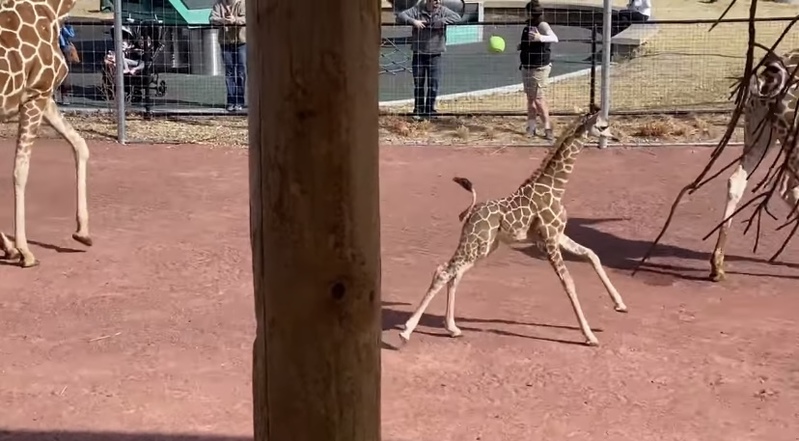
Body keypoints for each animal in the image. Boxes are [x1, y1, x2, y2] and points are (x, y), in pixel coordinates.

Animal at [0, 0, 92, 266]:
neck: (53, 9)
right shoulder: (36, 94)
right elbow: (20, 172)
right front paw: (25, 251)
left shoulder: (45, 96)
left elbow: (80, 145)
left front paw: (83, 232)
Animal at [400, 108, 632, 346]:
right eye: (603, 126)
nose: (614, 138)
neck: (556, 188)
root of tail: (471, 212)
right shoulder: (549, 240)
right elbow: (568, 281)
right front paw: (589, 335)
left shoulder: (557, 235)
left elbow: (591, 254)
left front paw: (620, 304)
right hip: (476, 243)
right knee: (443, 271)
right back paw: (407, 330)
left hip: (483, 246)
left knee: (455, 274)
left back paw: (452, 328)